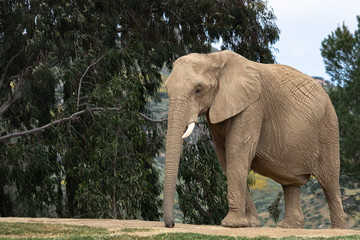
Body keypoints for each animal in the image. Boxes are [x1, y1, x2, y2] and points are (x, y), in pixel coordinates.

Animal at [162, 49, 346, 229]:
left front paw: (231, 225)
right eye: (167, 90)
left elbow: (236, 153)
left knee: (329, 181)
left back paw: (338, 229)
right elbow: (226, 159)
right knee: (291, 182)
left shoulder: (253, 106)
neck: (213, 58)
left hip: (328, 128)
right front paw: (249, 224)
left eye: (198, 90)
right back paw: (289, 227)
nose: (172, 224)